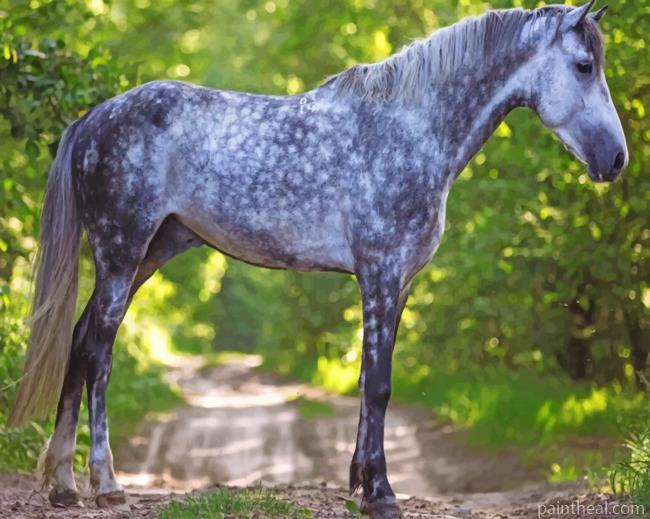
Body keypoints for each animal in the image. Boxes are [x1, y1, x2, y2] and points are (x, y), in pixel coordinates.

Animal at [11, 2, 627, 517]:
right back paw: (105, 484)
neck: (410, 130)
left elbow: (367, 380)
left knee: (79, 341)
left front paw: (360, 484)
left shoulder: (399, 284)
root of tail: (93, 119)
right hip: (120, 253)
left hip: (145, 255)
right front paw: (381, 494)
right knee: (98, 352)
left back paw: (63, 485)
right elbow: (378, 385)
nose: (616, 159)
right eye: (582, 66)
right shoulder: (379, 274)